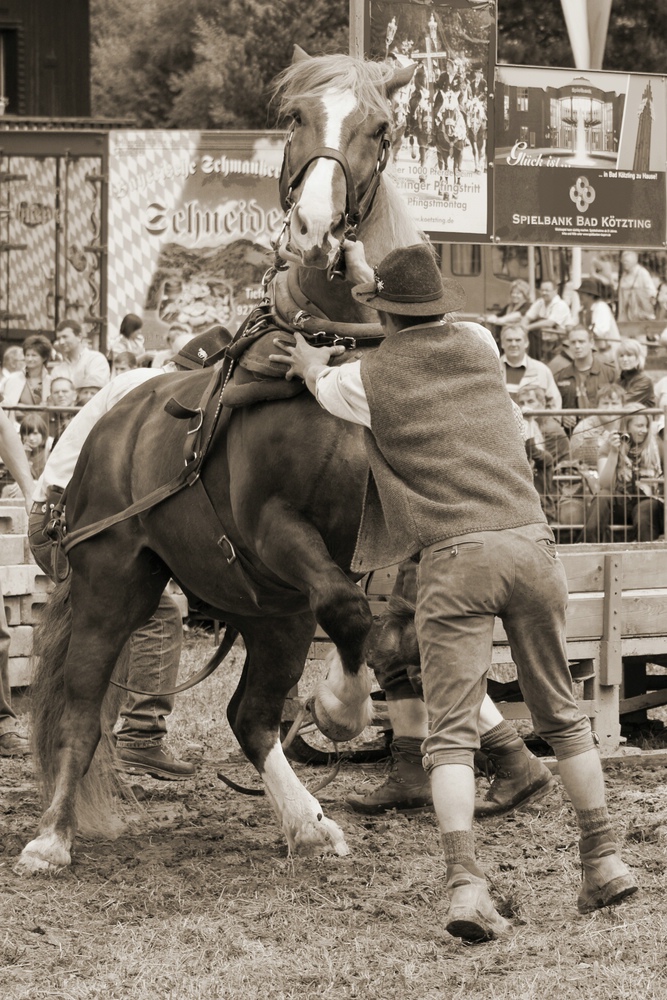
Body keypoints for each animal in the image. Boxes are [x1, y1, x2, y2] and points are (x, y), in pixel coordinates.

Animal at [18, 50, 420, 872]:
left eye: (379, 126)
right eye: (295, 119)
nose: (317, 225)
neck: (332, 351)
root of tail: (110, 419)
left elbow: (392, 617)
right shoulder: (275, 526)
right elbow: (351, 609)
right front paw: (339, 707)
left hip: (267, 605)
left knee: (250, 715)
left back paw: (308, 822)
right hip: (118, 582)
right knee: (82, 704)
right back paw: (52, 835)